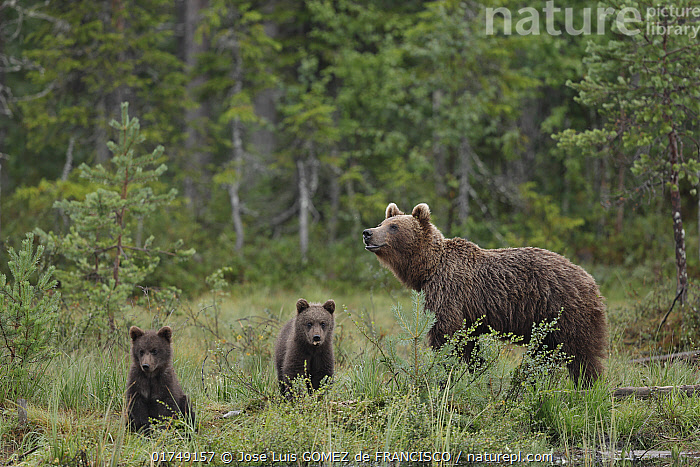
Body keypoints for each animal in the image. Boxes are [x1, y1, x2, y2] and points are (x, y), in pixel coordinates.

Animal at [363, 202, 607, 385]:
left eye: (394, 226)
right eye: (382, 223)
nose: (367, 233)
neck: (428, 269)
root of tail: (591, 280)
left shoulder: (449, 291)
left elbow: (445, 333)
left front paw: (443, 373)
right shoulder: (468, 312)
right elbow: (469, 344)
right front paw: (476, 371)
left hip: (564, 310)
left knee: (582, 354)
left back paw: (589, 386)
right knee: (544, 354)